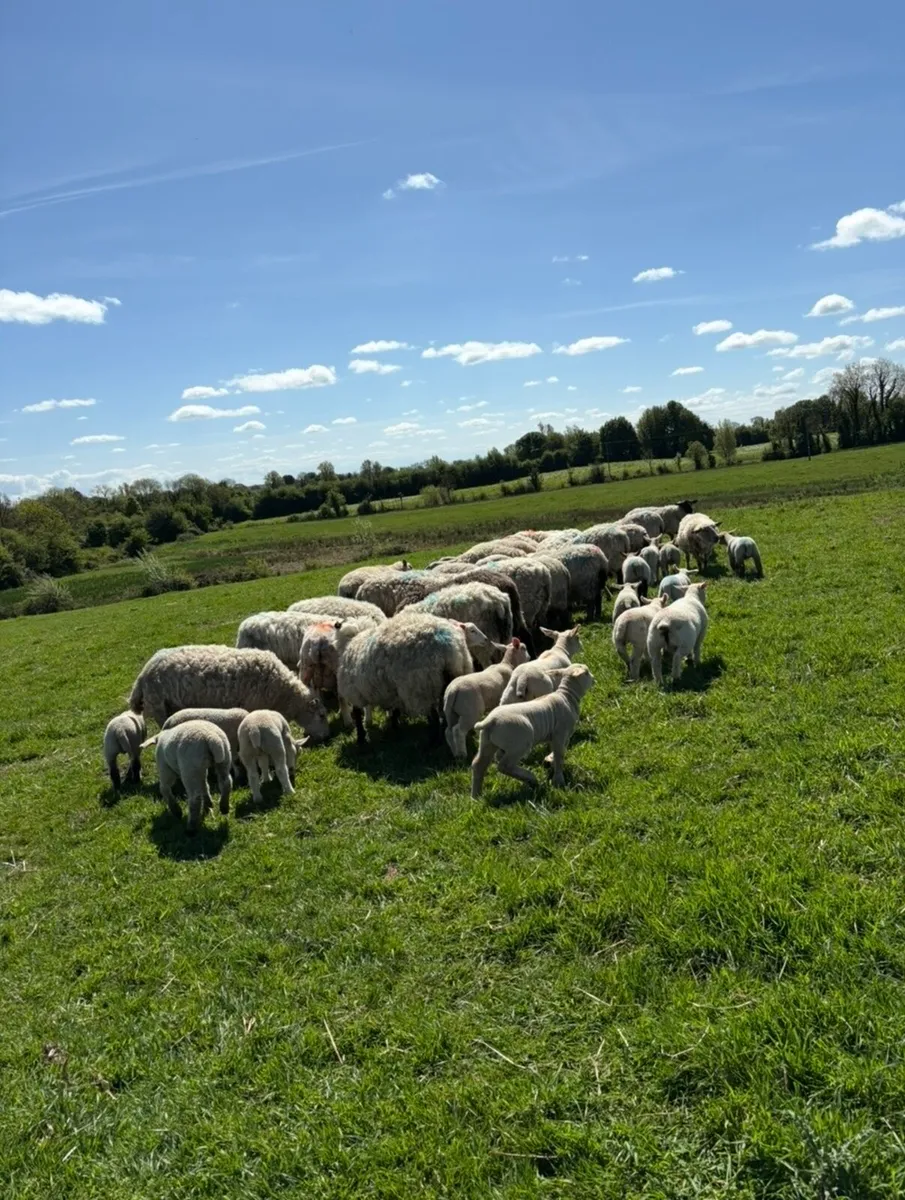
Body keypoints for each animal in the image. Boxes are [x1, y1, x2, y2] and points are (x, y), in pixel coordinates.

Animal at [129, 645, 331, 743]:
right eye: (321, 715)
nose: (326, 737)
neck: (283, 694)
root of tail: (143, 673)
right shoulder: (254, 706)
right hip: (159, 708)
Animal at [334, 613, 476, 744]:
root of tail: (449, 647)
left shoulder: (355, 693)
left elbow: (357, 715)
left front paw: (361, 739)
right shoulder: (392, 691)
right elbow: (395, 710)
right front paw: (395, 727)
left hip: (421, 687)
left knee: (433, 717)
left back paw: (432, 741)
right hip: (453, 677)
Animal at [471, 664, 595, 796]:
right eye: (586, 672)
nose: (594, 679)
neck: (567, 696)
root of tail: (490, 721)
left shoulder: (560, 736)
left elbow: (557, 751)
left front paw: (550, 762)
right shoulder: (560, 733)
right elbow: (559, 755)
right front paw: (558, 780)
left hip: (488, 742)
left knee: (479, 764)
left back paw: (476, 796)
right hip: (520, 743)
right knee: (504, 766)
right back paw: (531, 778)